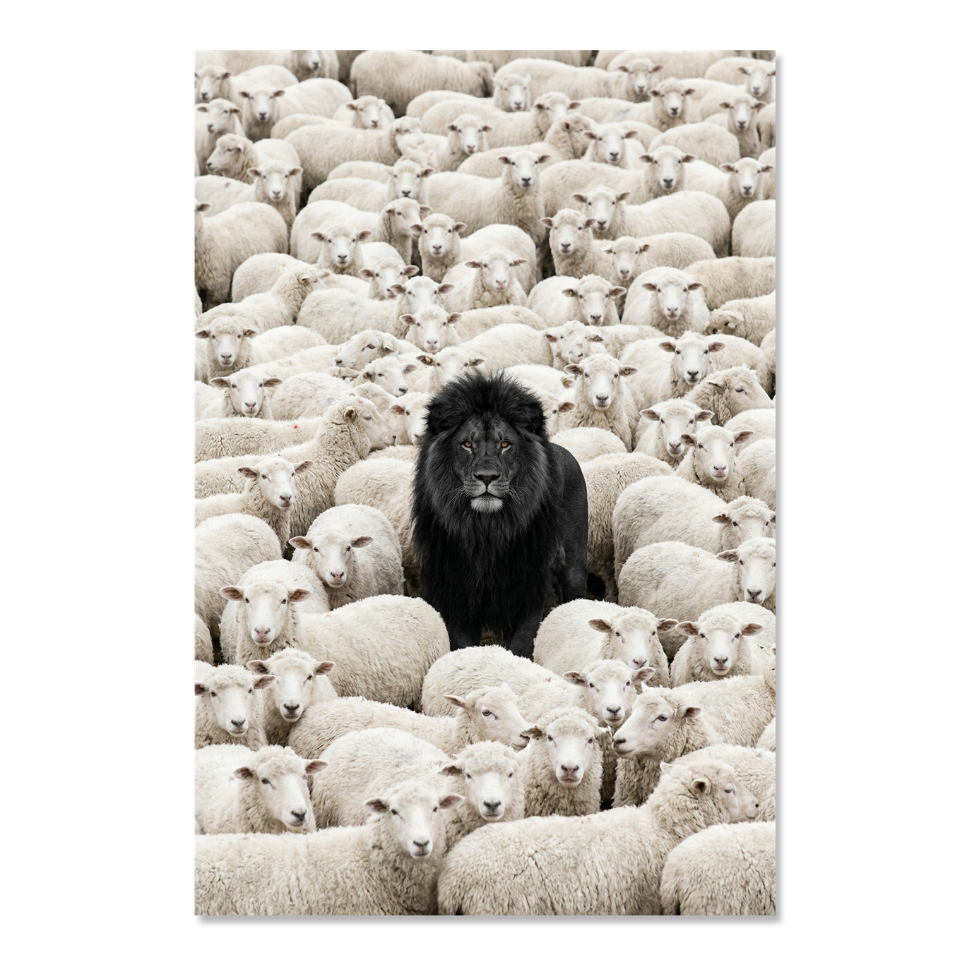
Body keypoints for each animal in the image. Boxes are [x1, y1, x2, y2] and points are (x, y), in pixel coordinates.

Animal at [412, 372, 588, 658]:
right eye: (467, 444)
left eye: (505, 444)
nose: (487, 477)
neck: (487, 531)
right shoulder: (456, 594)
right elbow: (463, 645)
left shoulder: (528, 589)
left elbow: (522, 644)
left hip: (574, 568)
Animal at [613, 479, 775, 576]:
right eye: (735, 523)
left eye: (767, 522)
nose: (754, 542)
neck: (717, 535)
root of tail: (645, 480)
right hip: (622, 554)